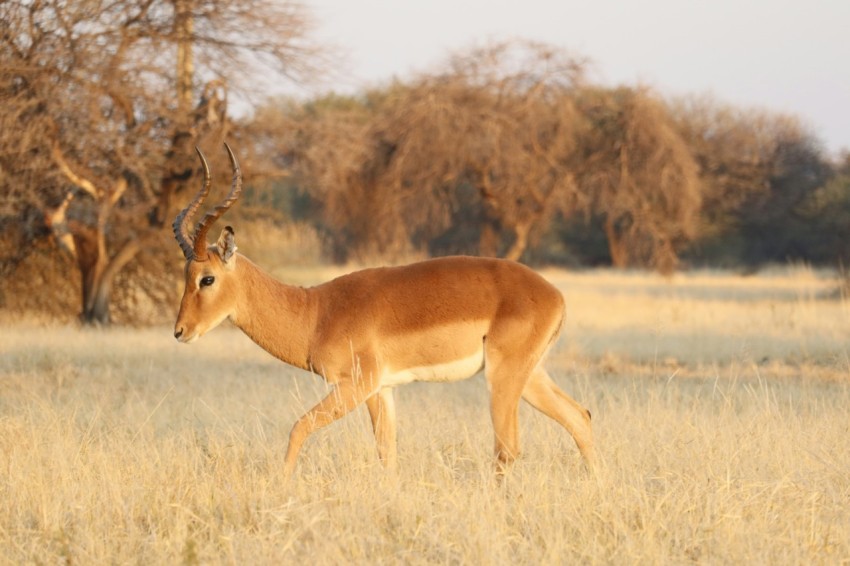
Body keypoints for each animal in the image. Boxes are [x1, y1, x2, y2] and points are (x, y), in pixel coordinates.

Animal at [173, 144, 595, 480]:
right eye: (185, 275)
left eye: (207, 278)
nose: (180, 331)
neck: (315, 313)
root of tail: (554, 295)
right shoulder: (383, 390)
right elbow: (387, 454)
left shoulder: (357, 386)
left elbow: (299, 428)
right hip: (530, 375)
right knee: (580, 417)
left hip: (503, 377)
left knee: (508, 447)